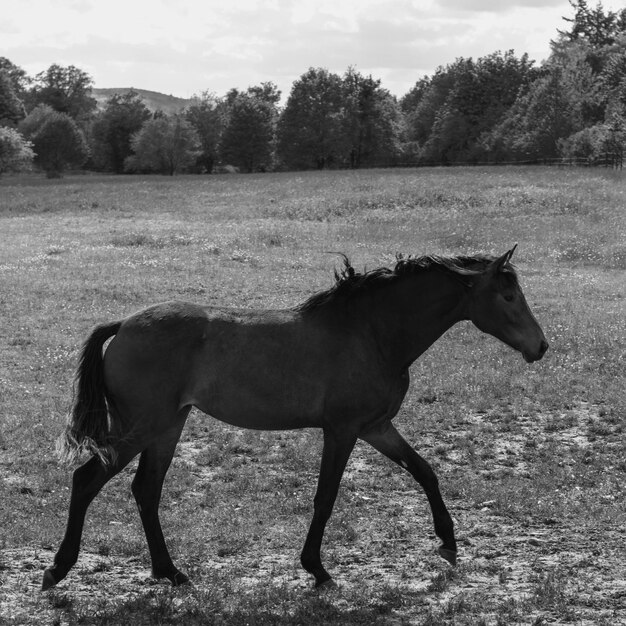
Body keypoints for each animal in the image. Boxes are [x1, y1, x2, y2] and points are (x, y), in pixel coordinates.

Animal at [42, 246, 544, 588]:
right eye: (507, 294)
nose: (541, 346)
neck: (371, 333)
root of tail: (124, 325)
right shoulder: (342, 431)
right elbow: (326, 497)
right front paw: (316, 569)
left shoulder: (376, 427)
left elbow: (425, 471)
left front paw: (448, 540)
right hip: (141, 427)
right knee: (87, 480)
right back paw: (59, 569)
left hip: (168, 427)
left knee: (146, 490)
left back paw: (171, 572)